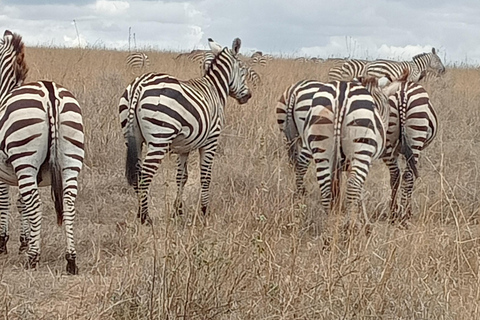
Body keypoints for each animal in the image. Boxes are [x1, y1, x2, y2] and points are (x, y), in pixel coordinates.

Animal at [0, 30, 84, 274]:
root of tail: (50, 92)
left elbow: (6, 202)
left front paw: (5, 243)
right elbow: (20, 203)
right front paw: (24, 240)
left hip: (24, 158)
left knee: (35, 202)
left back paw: (33, 258)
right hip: (72, 156)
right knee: (69, 202)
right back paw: (71, 260)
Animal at [119, 37, 251, 224]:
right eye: (243, 71)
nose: (248, 96)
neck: (215, 89)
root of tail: (139, 84)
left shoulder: (184, 147)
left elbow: (181, 177)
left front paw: (178, 210)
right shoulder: (211, 140)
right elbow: (206, 176)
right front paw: (204, 210)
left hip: (132, 137)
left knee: (137, 175)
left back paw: (140, 213)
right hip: (159, 138)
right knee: (145, 176)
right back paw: (146, 217)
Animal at [378, 75, 438, 225]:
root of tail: (402, 93)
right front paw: (407, 211)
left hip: (388, 138)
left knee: (395, 174)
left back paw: (393, 213)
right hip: (416, 135)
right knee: (408, 176)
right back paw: (404, 215)